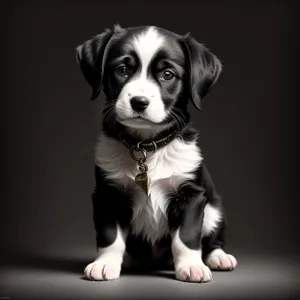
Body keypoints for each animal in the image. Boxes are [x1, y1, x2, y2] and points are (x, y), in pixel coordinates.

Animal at [76, 24, 238, 282]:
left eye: (168, 75)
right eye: (122, 70)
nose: (139, 102)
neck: (145, 146)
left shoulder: (191, 195)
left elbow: (186, 237)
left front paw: (192, 266)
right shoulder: (108, 193)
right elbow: (110, 235)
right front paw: (105, 263)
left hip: (214, 210)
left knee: (212, 238)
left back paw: (218, 257)